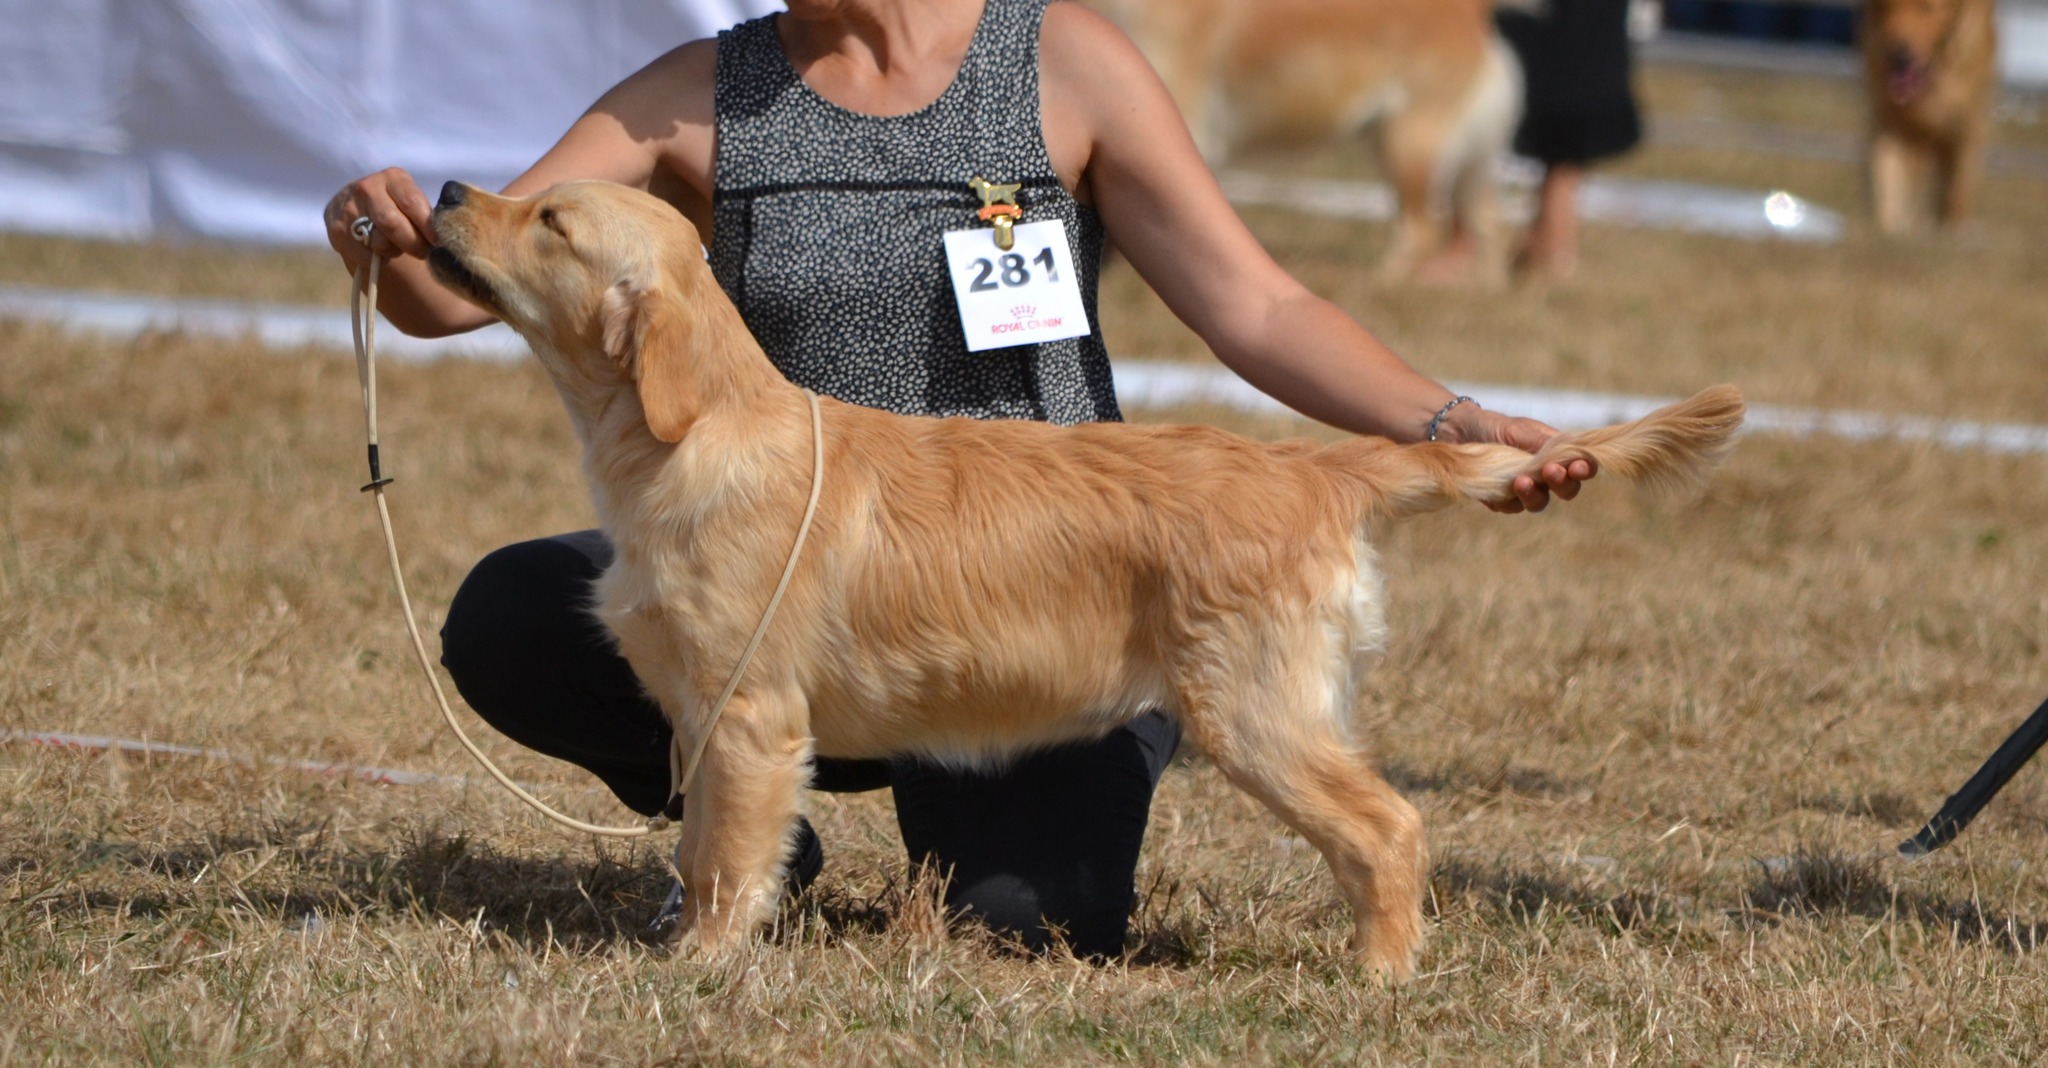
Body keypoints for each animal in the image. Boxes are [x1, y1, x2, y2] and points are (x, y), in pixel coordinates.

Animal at [432, 179, 1744, 979]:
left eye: (549, 219)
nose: (440, 193)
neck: (688, 431)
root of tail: (1312, 465)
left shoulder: (748, 715)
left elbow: (723, 856)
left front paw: (703, 964)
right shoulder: (703, 716)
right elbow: (708, 844)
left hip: (1252, 709)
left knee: (1389, 825)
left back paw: (1380, 971)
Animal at [1081, 0, 1531, 282]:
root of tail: (1473, 11)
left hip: (1410, 145)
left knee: (1422, 230)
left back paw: (1380, 280)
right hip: (1458, 160)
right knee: (1488, 226)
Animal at [1867, 0, 1990, 233]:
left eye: (1928, 8)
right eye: (1886, 7)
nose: (1898, 57)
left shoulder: (1965, 124)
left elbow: (1958, 184)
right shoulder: (1891, 123)